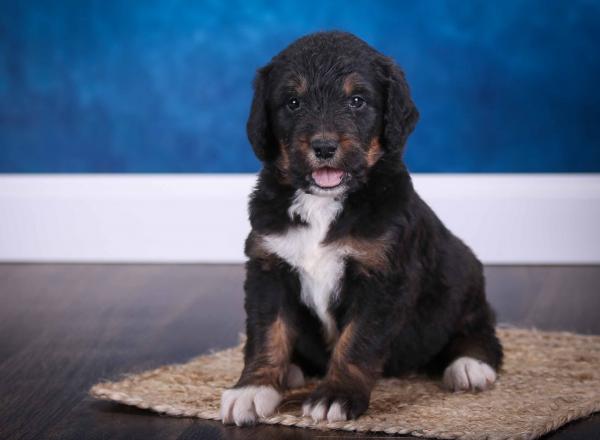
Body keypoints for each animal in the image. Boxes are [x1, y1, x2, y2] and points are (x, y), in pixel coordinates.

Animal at [220, 31, 502, 426]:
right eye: (292, 103)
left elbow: (357, 340)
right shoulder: (268, 267)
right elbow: (267, 333)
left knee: (479, 329)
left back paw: (470, 366)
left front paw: (335, 395)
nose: (324, 146)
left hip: (464, 279)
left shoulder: (382, 278)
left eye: (356, 100)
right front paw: (253, 388)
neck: (324, 203)